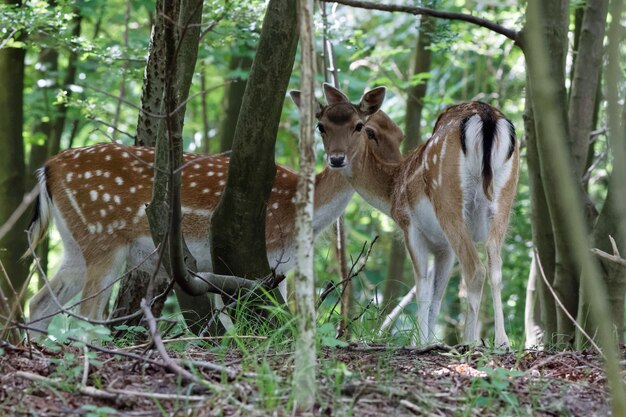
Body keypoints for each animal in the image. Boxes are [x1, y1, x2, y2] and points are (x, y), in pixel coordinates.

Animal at [25, 94, 400, 332]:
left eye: (362, 126)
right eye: (322, 125)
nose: (337, 158)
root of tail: (48, 168)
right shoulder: (255, 260)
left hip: (75, 244)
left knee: (40, 303)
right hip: (103, 238)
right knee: (86, 313)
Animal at [292, 83, 516, 344]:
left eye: (360, 126)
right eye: (321, 126)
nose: (336, 158)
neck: (392, 191)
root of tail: (486, 116)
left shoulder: (410, 225)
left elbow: (422, 286)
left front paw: (419, 343)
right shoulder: (443, 246)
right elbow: (437, 295)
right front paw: (429, 341)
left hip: (448, 201)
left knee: (476, 270)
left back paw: (469, 342)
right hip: (504, 199)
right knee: (496, 267)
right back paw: (502, 341)